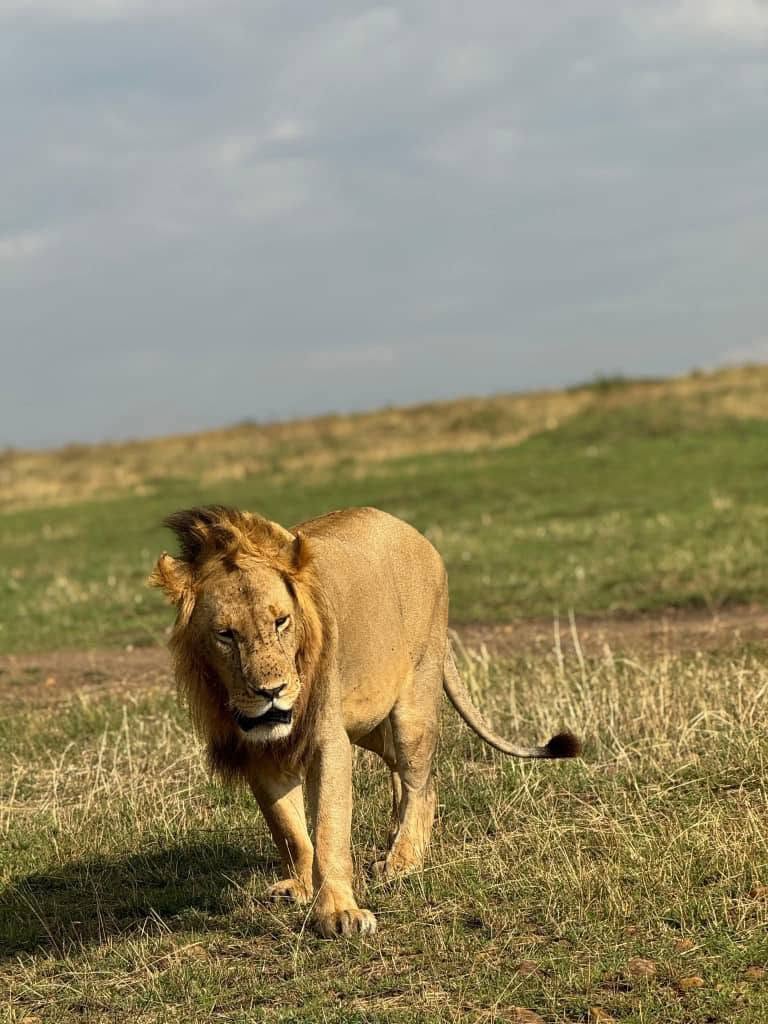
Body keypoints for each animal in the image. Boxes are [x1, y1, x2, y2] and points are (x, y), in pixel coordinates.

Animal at [149, 505, 579, 938]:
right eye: (225, 634)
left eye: (281, 622)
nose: (272, 691)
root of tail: (411, 531)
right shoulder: (259, 752)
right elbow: (290, 831)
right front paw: (300, 886)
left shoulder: (329, 741)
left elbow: (329, 828)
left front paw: (339, 913)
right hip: (369, 719)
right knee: (408, 773)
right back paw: (393, 841)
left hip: (414, 701)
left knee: (419, 780)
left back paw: (402, 860)